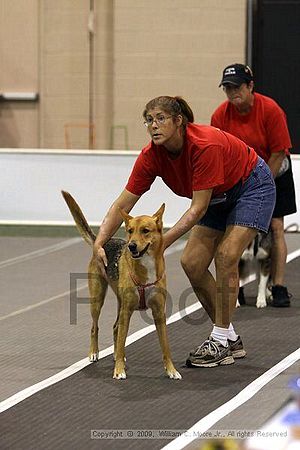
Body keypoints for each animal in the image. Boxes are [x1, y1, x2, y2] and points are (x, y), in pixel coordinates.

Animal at [62, 190, 182, 380]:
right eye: (130, 231)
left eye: (145, 231)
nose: (131, 246)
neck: (146, 266)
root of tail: (102, 242)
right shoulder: (127, 311)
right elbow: (120, 342)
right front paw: (119, 370)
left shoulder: (159, 313)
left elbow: (165, 347)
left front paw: (171, 370)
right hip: (98, 300)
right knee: (95, 327)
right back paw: (94, 353)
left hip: (120, 303)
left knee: (115, 329)